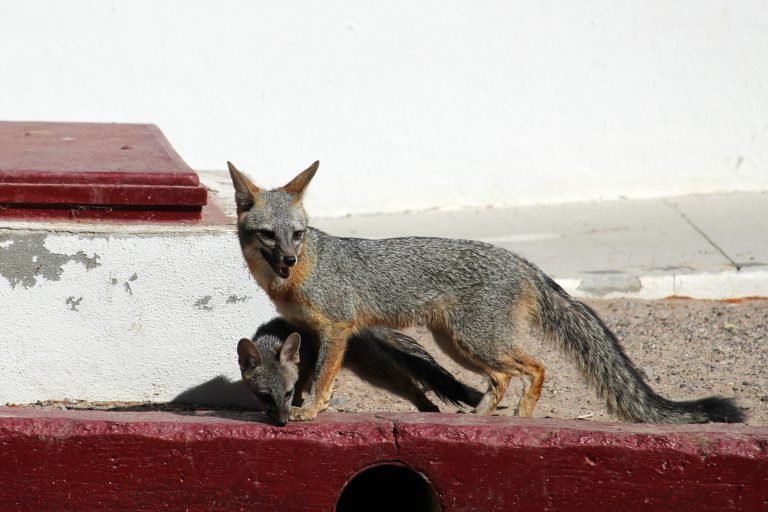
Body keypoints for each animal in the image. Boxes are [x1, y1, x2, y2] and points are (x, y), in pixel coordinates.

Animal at [237, 317, 483, 425]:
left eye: (286, 393)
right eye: (264, 396)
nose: (282, 423)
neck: (274, 334)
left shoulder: (310, 364)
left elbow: (306, 388)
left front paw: (300, 407)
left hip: (375, 371)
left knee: (411, 387)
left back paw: (429, 410)